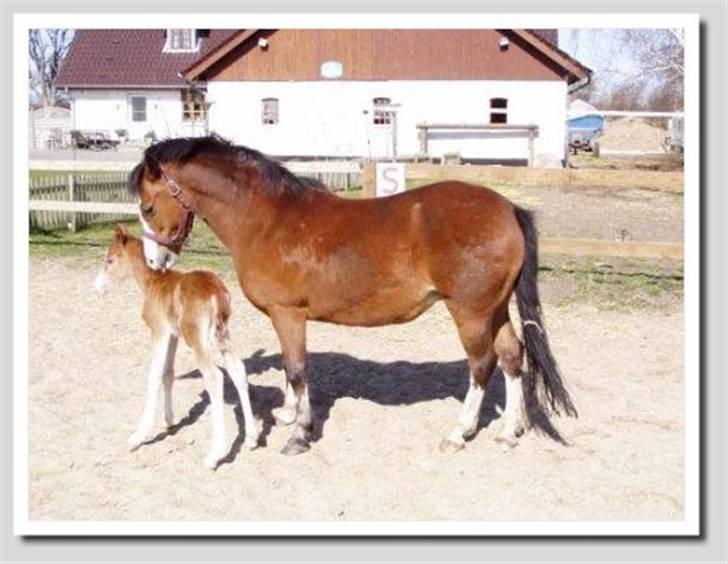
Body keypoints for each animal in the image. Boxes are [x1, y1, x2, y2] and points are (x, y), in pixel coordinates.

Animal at [94, 224, 260, 468]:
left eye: (110, 260)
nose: (96, 289)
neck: (152, 282)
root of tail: (217, 294)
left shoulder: (159, 331)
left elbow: (154, 375)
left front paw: (138, 436)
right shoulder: (173, 334)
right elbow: (168, 373)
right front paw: (170, 420)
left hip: (197, 339)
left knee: (215, 377)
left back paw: (215, 454)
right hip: (222, 335)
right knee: (238, 371)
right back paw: (251, 438)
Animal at [128, 135, 577, 456]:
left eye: (147, 207)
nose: (155, 260)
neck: (266, 218)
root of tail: (508, 209)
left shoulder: (289, 314)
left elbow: (297, 369)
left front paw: (300, 434)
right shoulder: (282, 317)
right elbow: (291, 369)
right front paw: (289, 414)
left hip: (471, 312)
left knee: (482, 364)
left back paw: (459, 432)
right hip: (495, 309)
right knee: (512, 356)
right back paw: (509, 430)